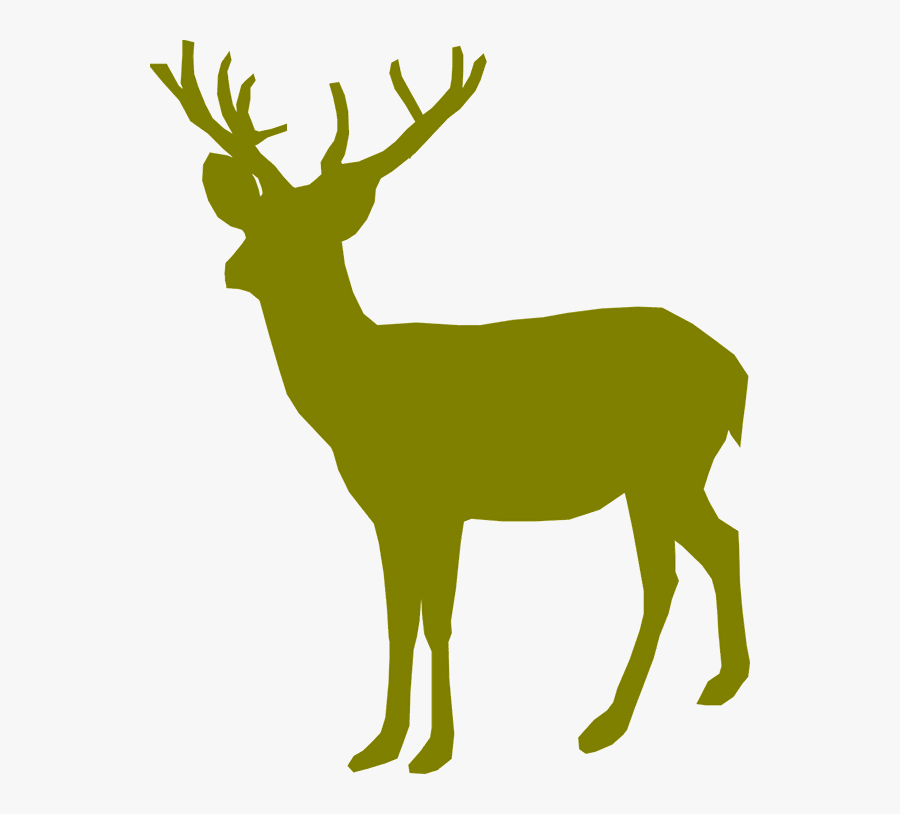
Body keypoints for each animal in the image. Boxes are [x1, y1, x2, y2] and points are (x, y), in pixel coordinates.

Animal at [151, 41, 750, 774]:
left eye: (315, 230)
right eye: (258, 218)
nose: (236, 268)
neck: (357, 396)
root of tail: (737, 373)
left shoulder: (442, 498)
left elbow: (437, 618)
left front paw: (435, 749)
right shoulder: (389, 510)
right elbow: (397, 620)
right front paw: (380, 744)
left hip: (663, 467)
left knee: (666, 574)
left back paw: (607, 722)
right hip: (672, 474)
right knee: (720, 542)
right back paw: (718, 683)